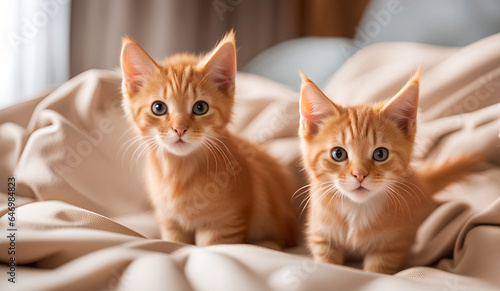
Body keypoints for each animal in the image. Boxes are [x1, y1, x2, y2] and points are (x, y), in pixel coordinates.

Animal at [120, 32, 296, 249]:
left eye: (200, 107)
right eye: (158, 108)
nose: (179, 128)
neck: (179, 171)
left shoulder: (224, 224)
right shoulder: (170, 223)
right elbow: (174, 242)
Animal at [298, 69, 478, 274]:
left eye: (380, 154)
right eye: (338, 153)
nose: (359, 175)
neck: (357, 209)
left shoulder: (393, 245)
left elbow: (378, 270)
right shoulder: (321, 237)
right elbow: (327, 264)